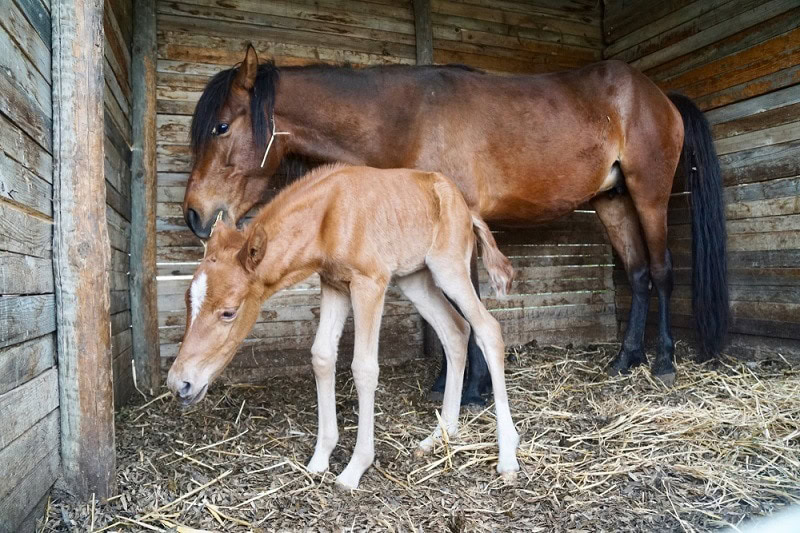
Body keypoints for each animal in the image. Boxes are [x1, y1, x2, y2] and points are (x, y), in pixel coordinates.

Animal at [167, 163, 519, 489]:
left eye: (228, 312)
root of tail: (466, 207)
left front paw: (354, 469)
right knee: (456, 331)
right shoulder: (333, 283)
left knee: (488, 329)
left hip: (449, 268)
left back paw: (507, 457)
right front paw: (320, 458)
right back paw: (440, 435)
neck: (330, 216)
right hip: (415, 278)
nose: (179, 383)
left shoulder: (369, 283)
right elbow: (322, 356)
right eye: (187, 302)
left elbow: (364, 368)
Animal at [182, 45, 728, 400]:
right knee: (637, 273)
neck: (408, 117)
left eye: (221, 126)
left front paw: (471, 389)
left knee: (661, 271)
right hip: (612, 201)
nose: (193, 214)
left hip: (649, 195)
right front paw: (457, 382)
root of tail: (660, 96)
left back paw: (663, 362)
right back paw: (625, 359)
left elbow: (469, 304)